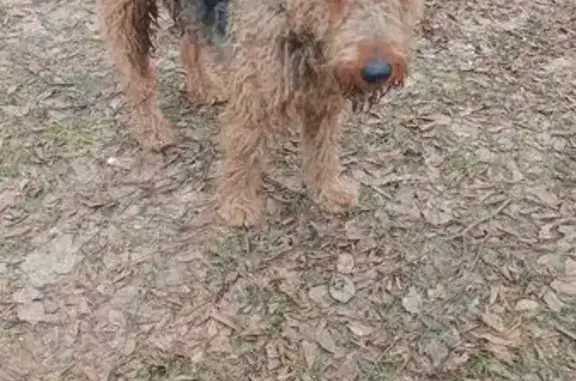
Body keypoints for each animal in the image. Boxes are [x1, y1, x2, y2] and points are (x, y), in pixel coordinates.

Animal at [97, 0, 426, 226]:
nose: (378, 72)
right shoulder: (254, 99)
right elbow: (244, 155)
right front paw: (238, 206)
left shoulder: (324, 100)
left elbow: (323, 152)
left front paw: (328, 191)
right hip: (127, 15)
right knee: (136, 74)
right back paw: (152, 129)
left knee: (190, 41)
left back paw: (204, 87)